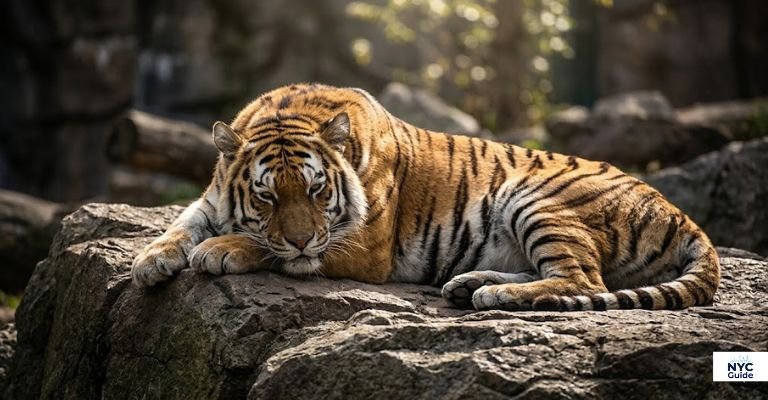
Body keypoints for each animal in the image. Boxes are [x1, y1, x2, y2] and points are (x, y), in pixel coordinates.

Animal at [131, 83, 720, 311]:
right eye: (268, 198)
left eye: (318, 191)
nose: (300, 239)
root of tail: (684, 216)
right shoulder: (210, 200)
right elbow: (180, 225)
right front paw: (150, 261)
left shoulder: (363, 247)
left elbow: (267, 248)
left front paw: (221, 249)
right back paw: (470, 285)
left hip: (536, 197)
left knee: (583, 280)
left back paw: (494, 294)